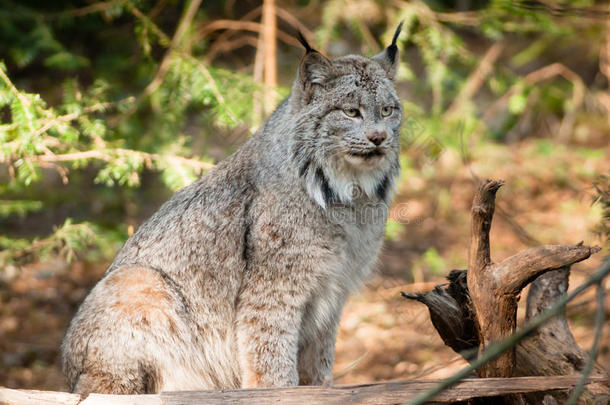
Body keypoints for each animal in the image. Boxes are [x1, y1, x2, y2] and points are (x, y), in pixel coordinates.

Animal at [60, 23, 404, 392]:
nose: (379, 138)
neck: (347, 194)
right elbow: (271, 359)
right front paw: (277, 394)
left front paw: (320, 391)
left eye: (388, 111)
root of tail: (69, 375)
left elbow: (320, 361)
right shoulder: (273, 290)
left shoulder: (334, 291)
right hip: (137, 278)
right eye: (350, 112)